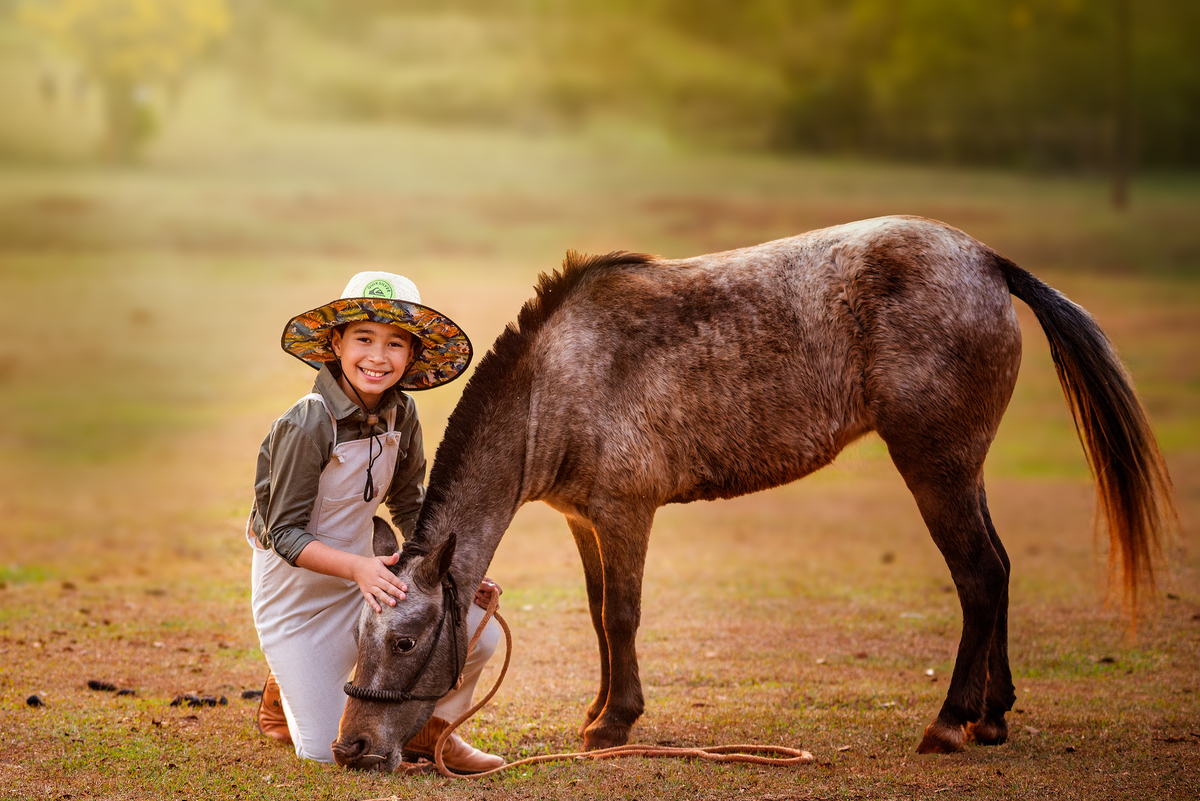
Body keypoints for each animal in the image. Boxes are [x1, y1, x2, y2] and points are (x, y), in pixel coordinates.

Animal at [331, 215, 1174, 772]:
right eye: (358, 634)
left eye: (404, 641)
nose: (351, 746)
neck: (556, 380)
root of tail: (987, 259)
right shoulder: (585, 521)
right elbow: (601, 616)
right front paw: (601, 713)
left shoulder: (624, 514)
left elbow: (621, 614)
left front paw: (615, 724)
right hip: (963, 468)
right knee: (998, 570)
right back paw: (993, 716)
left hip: (936, 465)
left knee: (980, 575)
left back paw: (949, 723)